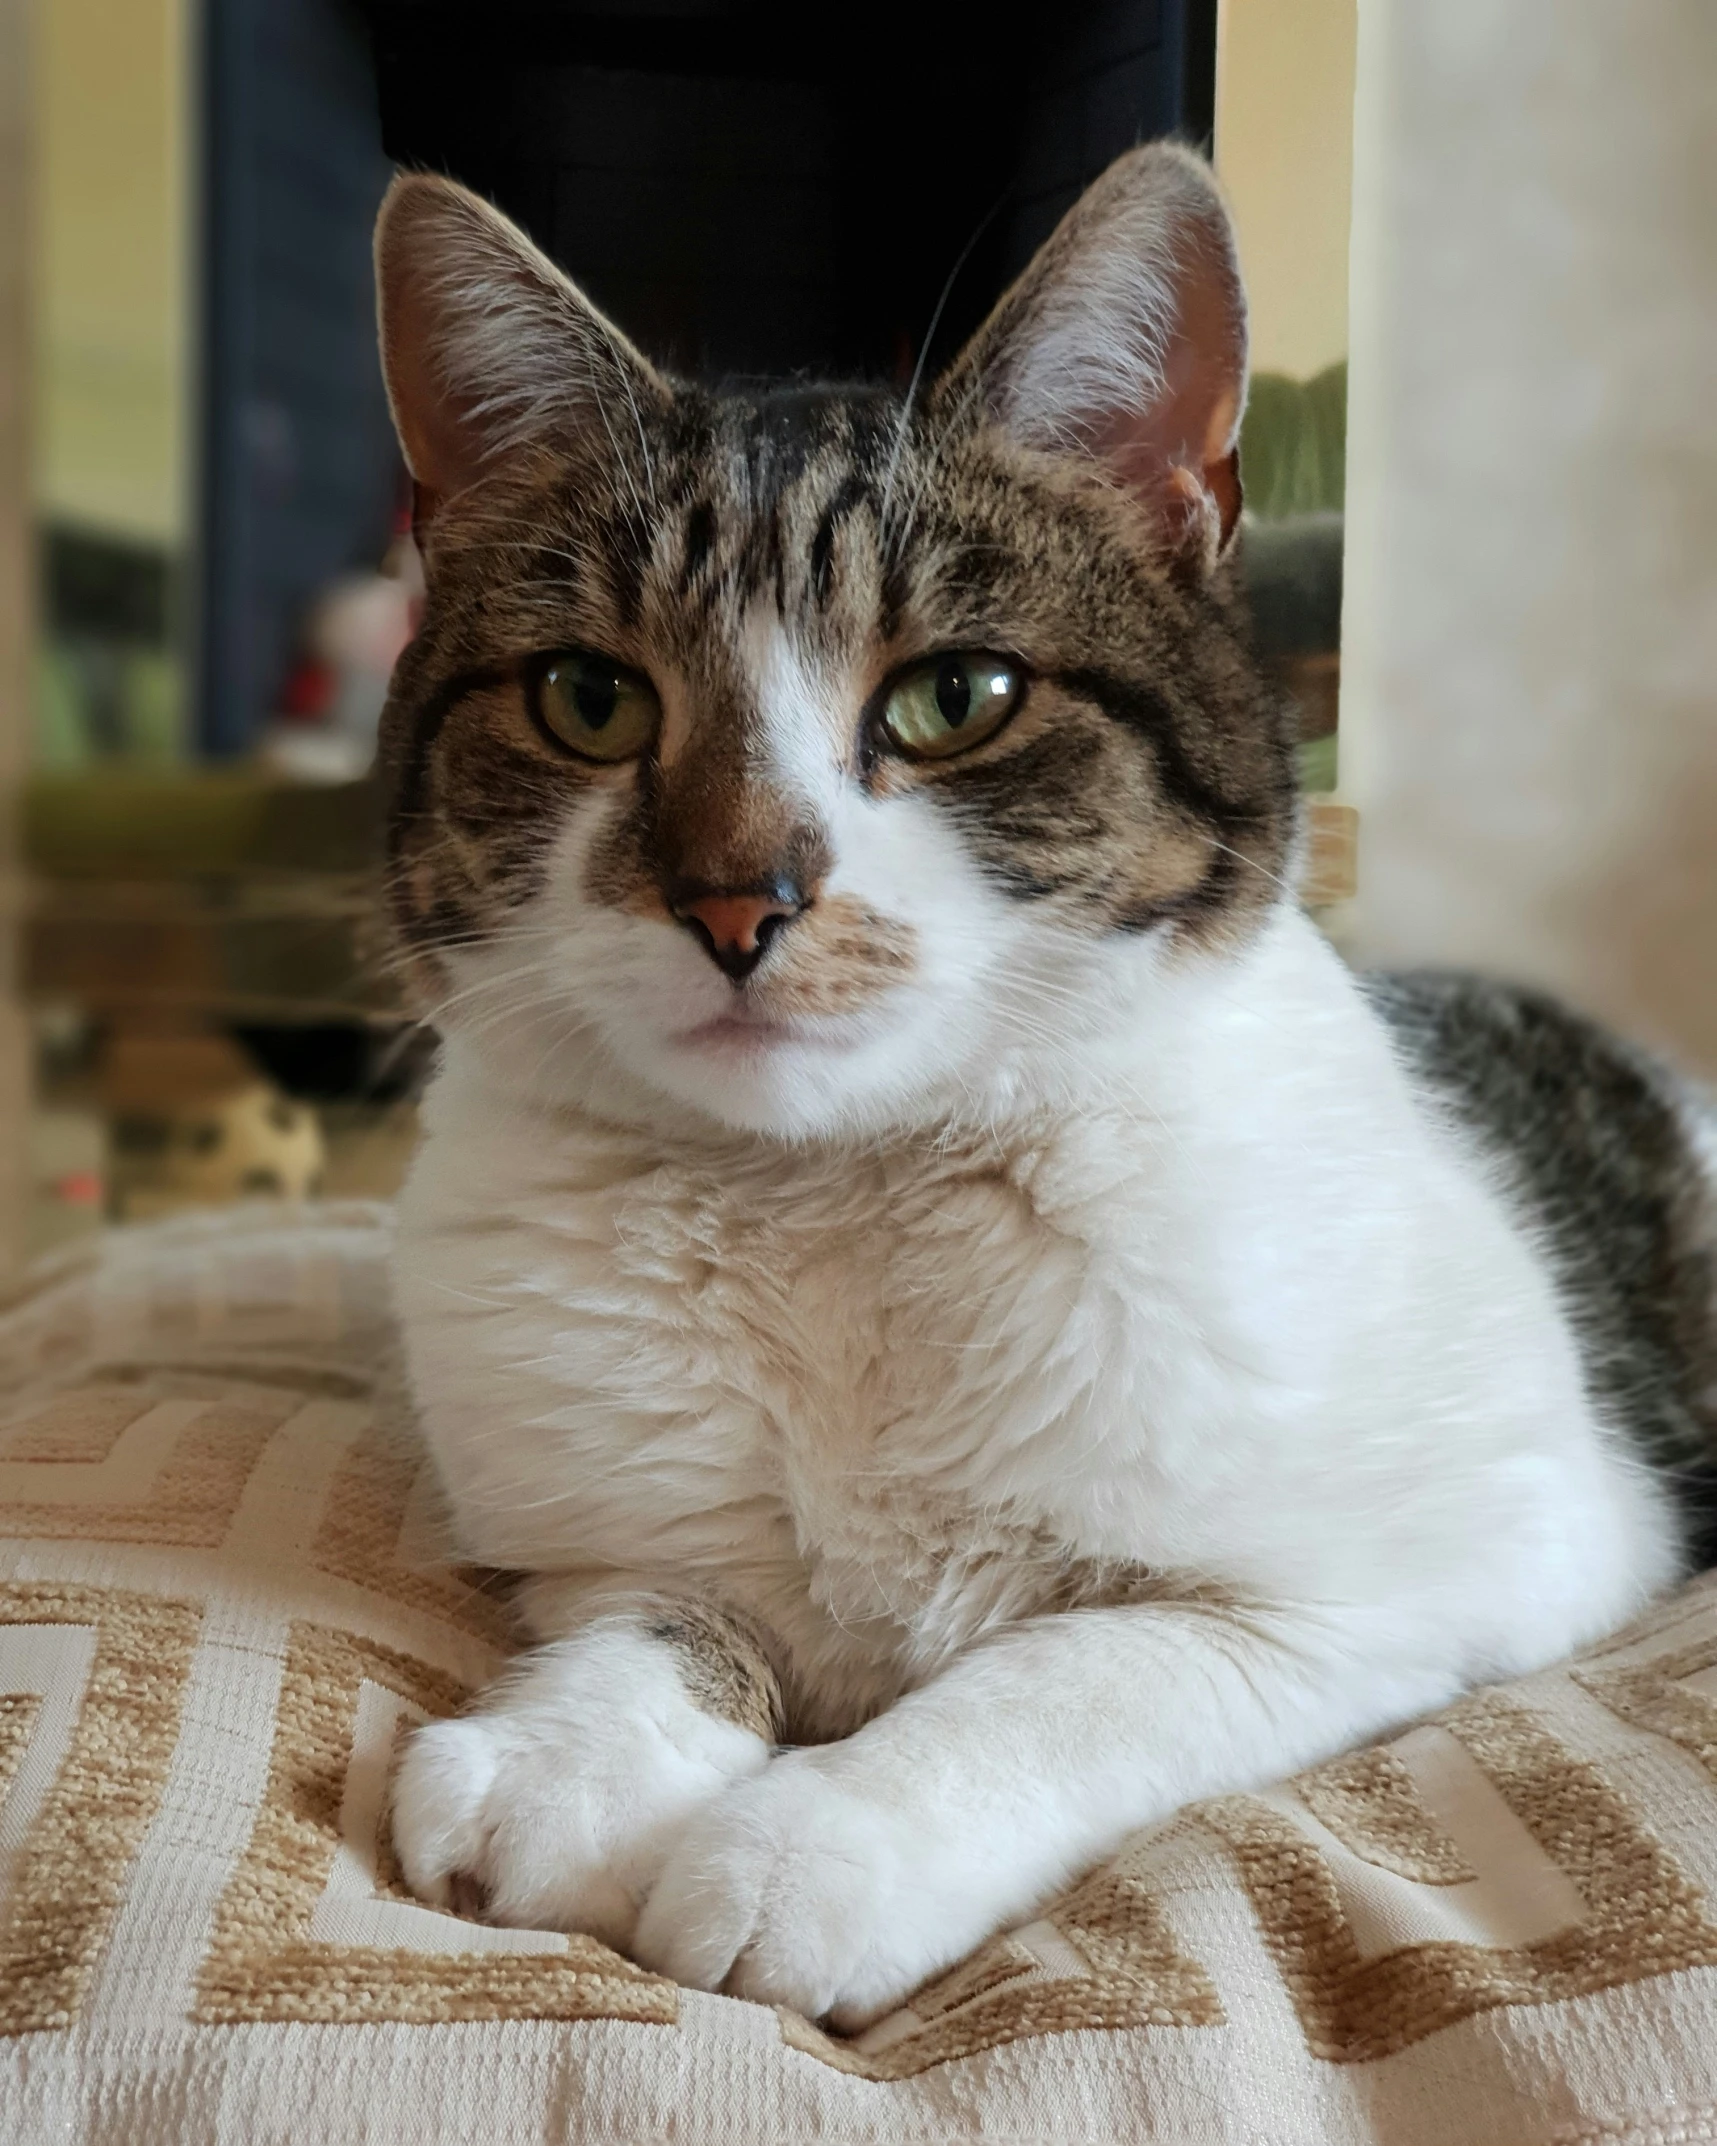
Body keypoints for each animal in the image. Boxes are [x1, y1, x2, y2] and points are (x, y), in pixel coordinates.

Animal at [369, 138, 1708, 2025]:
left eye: (954, 697)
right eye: (587, 700)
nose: (734, 895)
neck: (836, 1200)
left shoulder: (1469, 1558)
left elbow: (1079, 1662)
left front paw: (819, 1842)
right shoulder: (595, 1530)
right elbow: (663, 1602)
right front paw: (566, 1752)